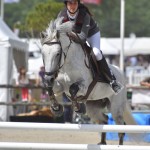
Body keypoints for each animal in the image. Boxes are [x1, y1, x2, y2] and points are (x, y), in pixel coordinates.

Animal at [39, 17, 137, 145]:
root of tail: (121, 72)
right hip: (93, 107)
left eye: (58, 54)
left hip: (116, 108)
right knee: (104, 120)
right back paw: (102, 142)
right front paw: (56, 108)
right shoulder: (59, 86)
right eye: (42, 54)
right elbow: (50, 88)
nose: (48, 78)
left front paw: (78, 108)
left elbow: (73, 89)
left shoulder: (84, 85)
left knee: (121, 129)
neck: (67, 64)